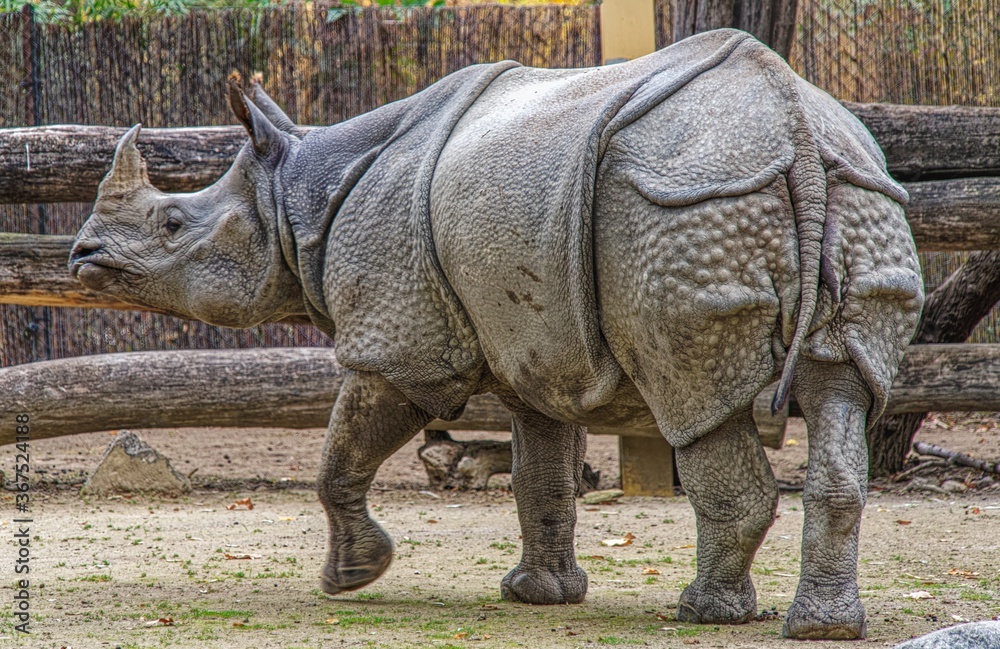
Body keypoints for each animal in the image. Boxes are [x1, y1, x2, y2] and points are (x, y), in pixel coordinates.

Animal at [70, 29, 923, 640]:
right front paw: (539, 596)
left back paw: (704, 611)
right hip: (861, 191)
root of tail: (794, 127)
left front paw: (352, 577)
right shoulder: (537, 349)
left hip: (680, 206)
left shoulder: (403, 343)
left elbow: (341, 451)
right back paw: (822, 627)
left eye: (172, 222)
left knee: (694, 399)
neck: (295, 195)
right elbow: (539, 470)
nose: (82, 256)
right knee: (842, 385)